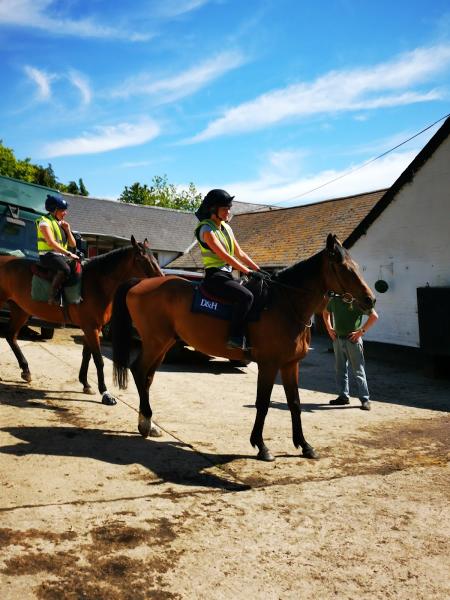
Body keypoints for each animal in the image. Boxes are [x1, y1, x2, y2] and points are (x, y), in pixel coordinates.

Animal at [0, 237, 162, 406]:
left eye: (155, 258)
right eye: (141, 259)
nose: (161, 278)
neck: (97, 283)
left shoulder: (92, 327)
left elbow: (86, 355)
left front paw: (86, 384)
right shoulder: (91, 328)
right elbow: (98, 360)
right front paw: (105, 393)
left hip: (20, 311)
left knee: (10, 336)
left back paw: (26, 370)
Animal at [112, 234, 376, 460]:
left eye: (357, 266)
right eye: (344, 268)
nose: (370, 299)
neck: (285, 304)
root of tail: (139, 283)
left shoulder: (290, 365)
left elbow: (295, 404)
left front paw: (304, 445)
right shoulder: (269, 365)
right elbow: (263, 403)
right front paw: (261, 446)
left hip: (163, 344)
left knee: (146, 377)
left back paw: (146, 424)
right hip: (156, 342)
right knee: (138, 371)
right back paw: (146, 421)